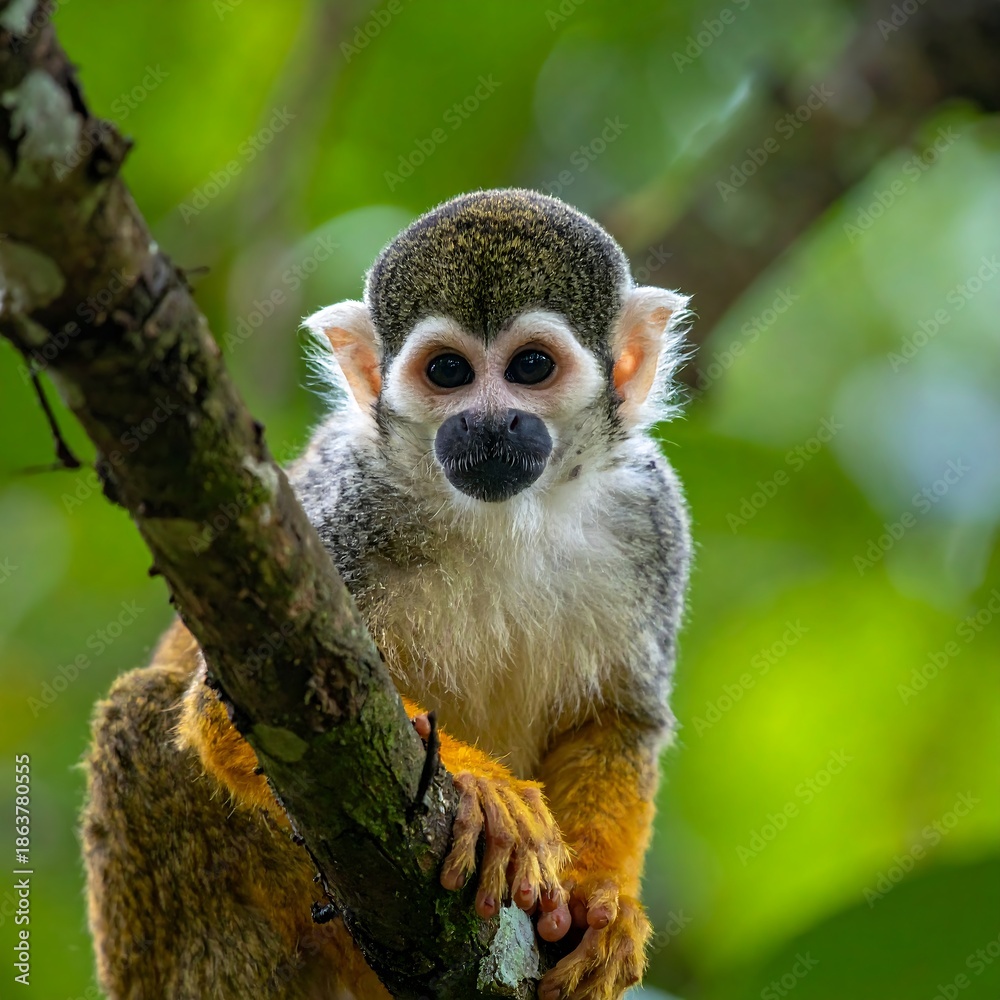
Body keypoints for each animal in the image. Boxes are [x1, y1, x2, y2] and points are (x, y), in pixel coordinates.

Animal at [82, 188, 692, 1000]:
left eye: (531, 366)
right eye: (448, 371)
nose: (488, 423)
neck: (504, 518)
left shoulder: (650, 519)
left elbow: (618, 719)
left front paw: (602, 904)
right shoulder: (344, 511)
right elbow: (226, 715)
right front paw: (481, 791)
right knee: (138, 713)